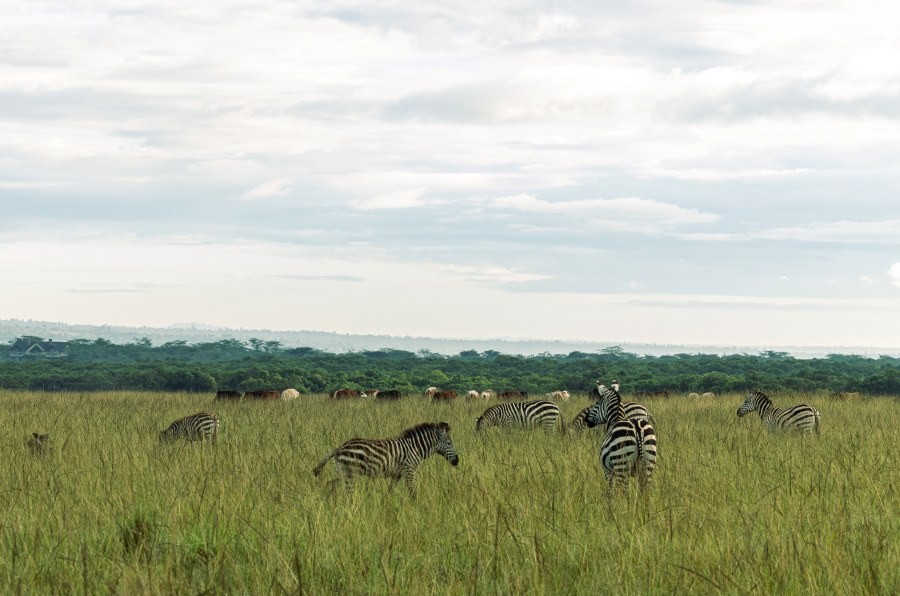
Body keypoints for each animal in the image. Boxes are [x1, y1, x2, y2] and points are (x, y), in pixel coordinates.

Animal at [312, 421, 459, 497]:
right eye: (449, 443)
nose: (457, 461)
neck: (415, 448)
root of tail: (339, 447)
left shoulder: (397, 474)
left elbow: (390, 491)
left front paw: (387, 507)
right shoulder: (409, 470)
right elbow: (412, 492)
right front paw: (416, 508)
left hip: (343, 471)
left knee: (331, 483)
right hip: (351, 473)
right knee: (347, 492)